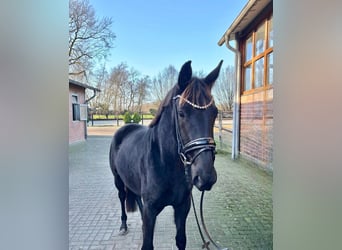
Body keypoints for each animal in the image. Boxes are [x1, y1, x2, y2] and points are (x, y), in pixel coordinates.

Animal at [108, 59, 223, 249]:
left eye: (214, 113)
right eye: (182, 113)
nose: (206, 177)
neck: (165, 163)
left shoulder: (182, 207)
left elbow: (181, 240)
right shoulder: (151, 210)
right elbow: (147, 244)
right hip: (118, 180)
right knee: (122, 197)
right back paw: (123, 225)